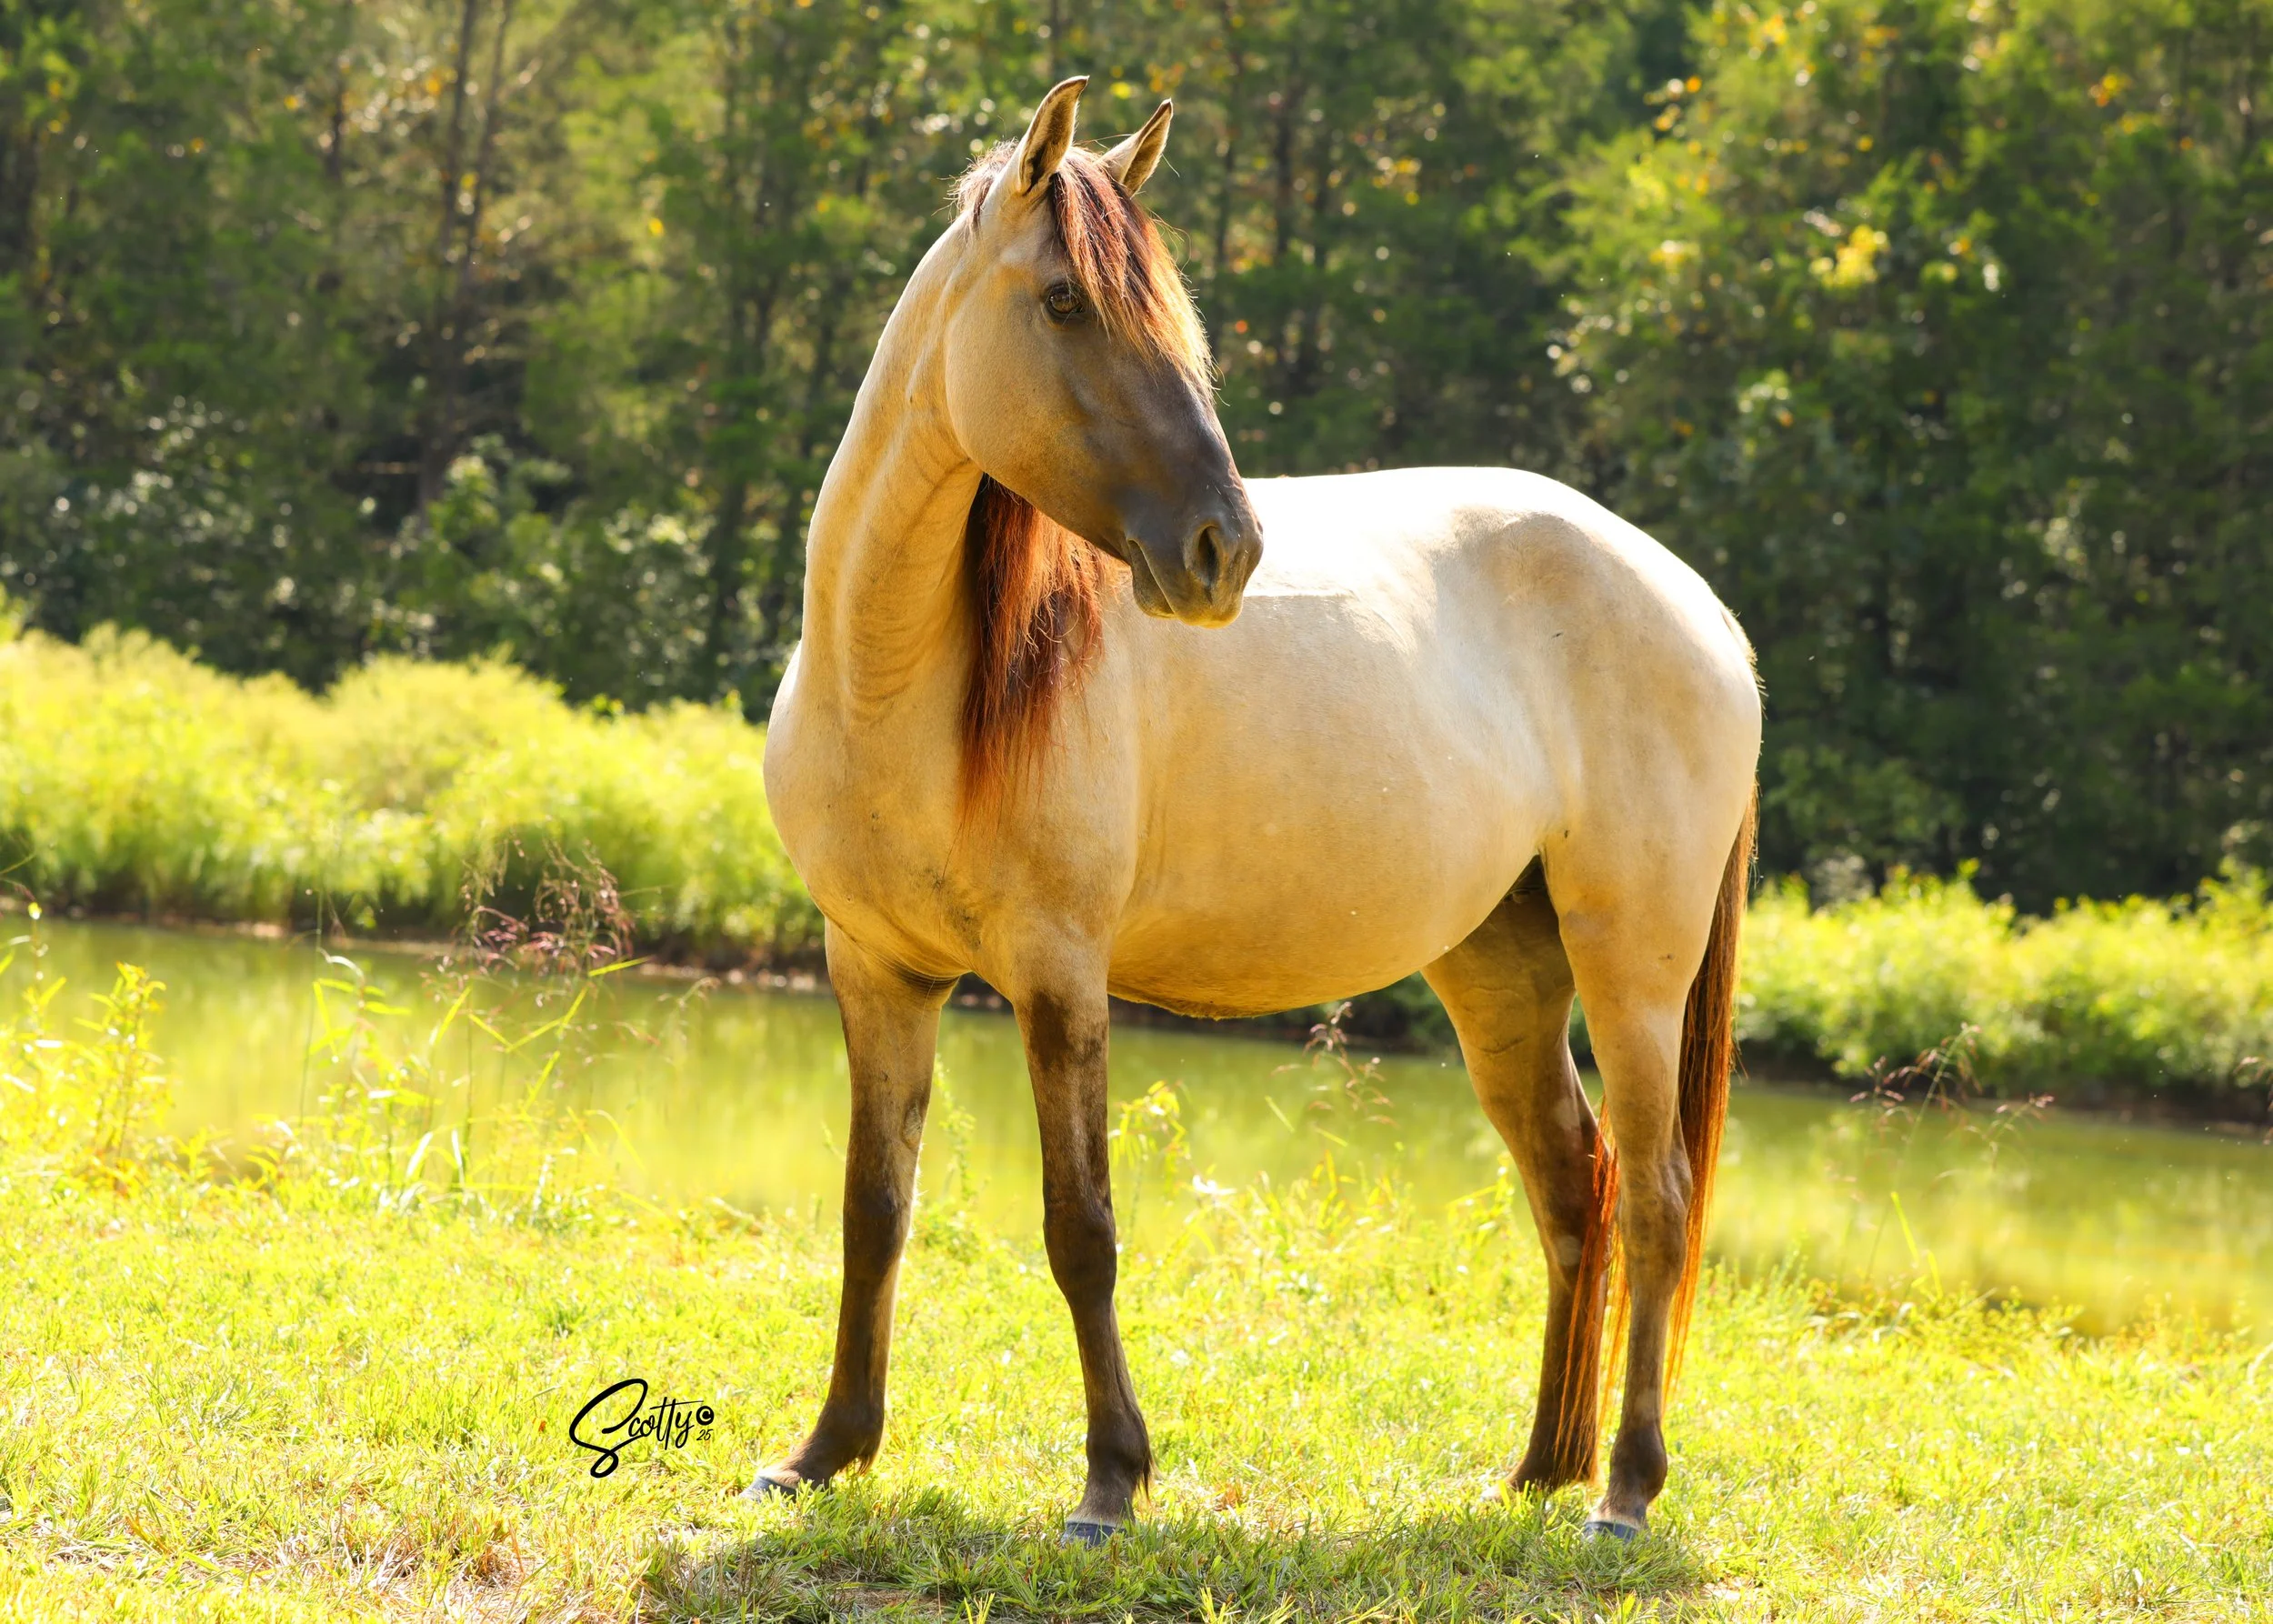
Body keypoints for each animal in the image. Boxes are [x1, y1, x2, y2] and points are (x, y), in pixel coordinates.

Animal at [752, 77, 1762, 1546]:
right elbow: (873, 1208)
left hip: (1632, 970)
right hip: (1500, 970)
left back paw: (1624, 1488)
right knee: (1575, 1184)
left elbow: (1081, 1227)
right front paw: (825, 1450)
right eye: (1065, 302)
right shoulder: (874, 968)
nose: (1223, 550)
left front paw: (1112, 1479)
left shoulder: (1059, 975)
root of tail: (1701, 607)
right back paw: (1537, 1469)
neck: (901, 680)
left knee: (1661, 1203)